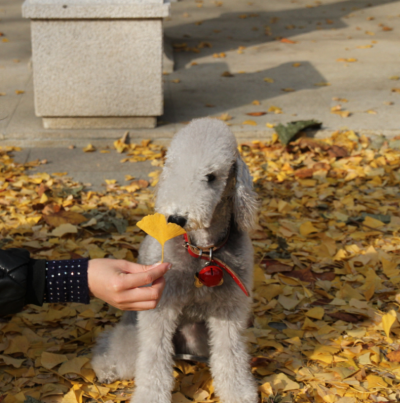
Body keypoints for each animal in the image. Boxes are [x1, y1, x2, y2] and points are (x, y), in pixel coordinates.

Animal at [91, 117, 260, 403]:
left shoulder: (229, 309)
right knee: (114, 347)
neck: (202, 250)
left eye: (211, 176)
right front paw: (150, 397)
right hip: (132, 332)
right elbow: (153, 358)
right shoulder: (159, 307)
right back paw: (105, 368)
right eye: (171, 168)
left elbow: (231, 355)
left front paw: (239, 393)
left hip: (199, 338)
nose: (177, 217)